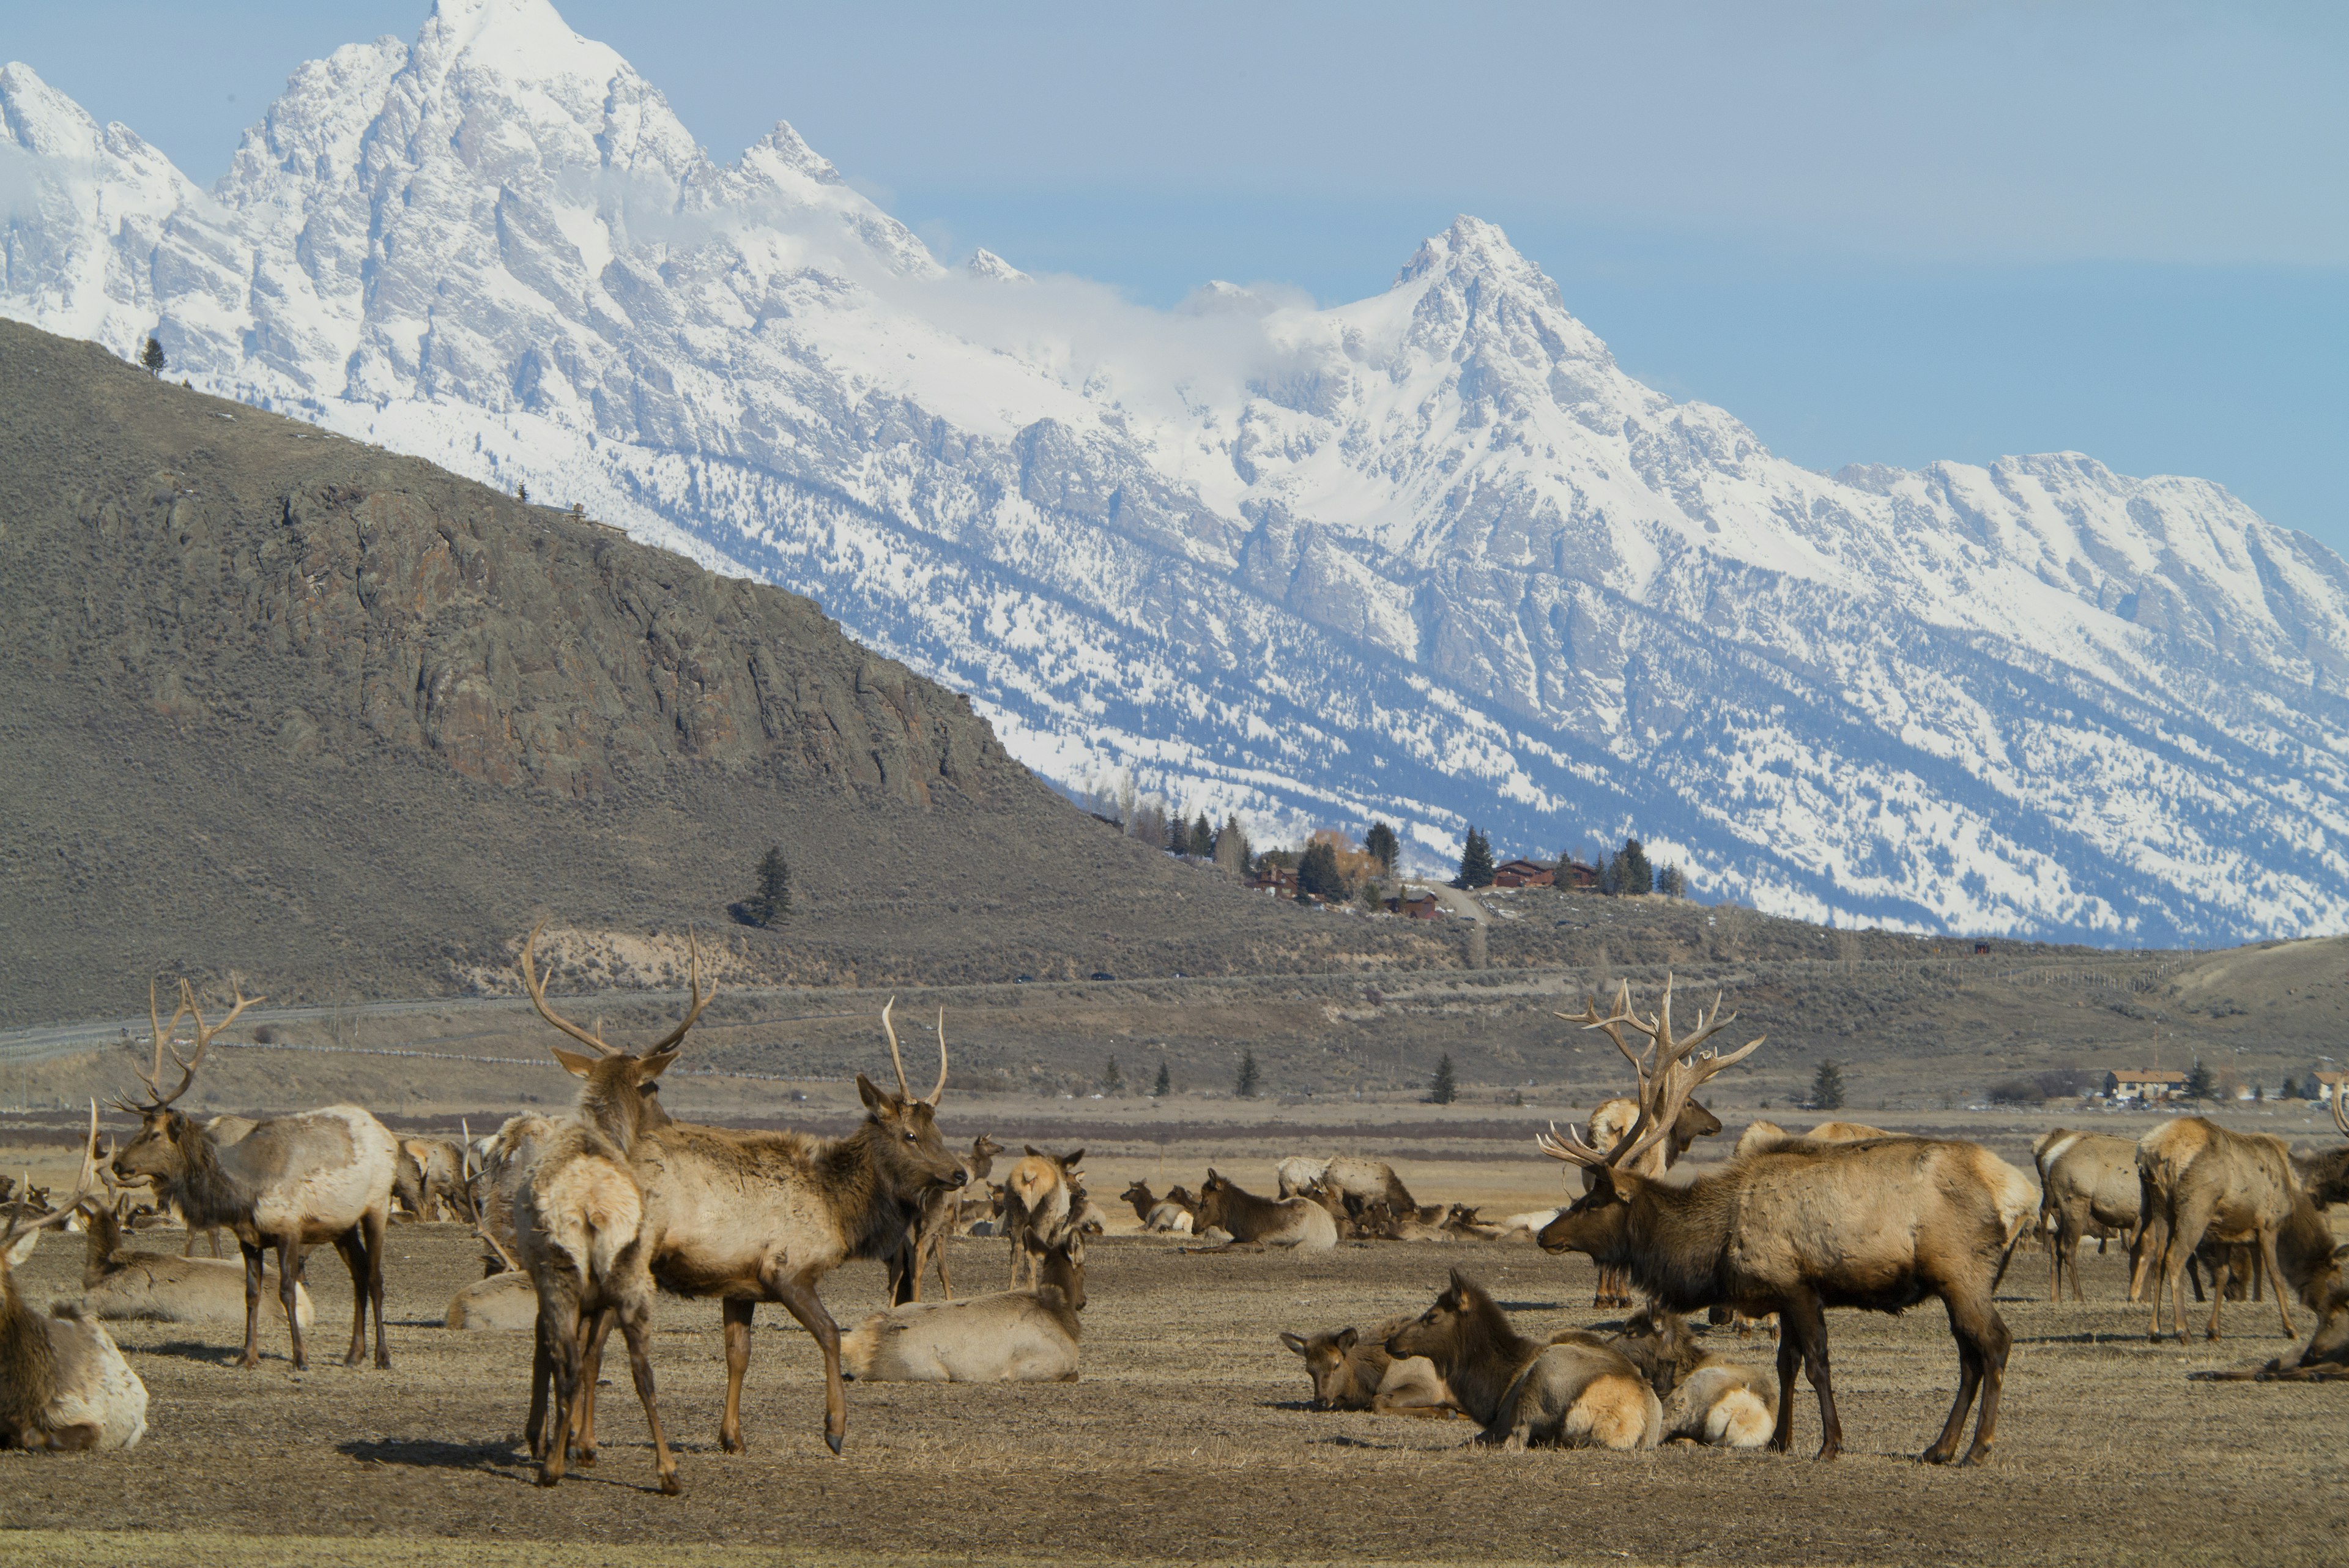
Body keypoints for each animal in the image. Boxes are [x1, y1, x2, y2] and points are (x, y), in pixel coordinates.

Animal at [105, 983, 396, 1373]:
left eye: (154, 1134)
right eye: (141, 1127)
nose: (118, 1164)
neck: (241, 1192)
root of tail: (386, 1134)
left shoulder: (290, 1228)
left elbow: (287, 1290)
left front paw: (301, 1357)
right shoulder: (249, 1238)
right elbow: (251, 1293)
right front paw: (247, 1355)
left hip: (377, 1204)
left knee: (377, 1276)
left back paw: (382, 1356)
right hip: (341, 1225)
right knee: (360, 1273)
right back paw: (353, 1353)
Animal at [1277, 1316, 1456, 1419]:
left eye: (1337, 1364)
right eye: (1309, 1370)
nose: (1321, 1400)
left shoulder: (1429, 1387)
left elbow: (1377, 1402)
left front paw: (1444, 1411)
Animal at [1381, 1269, 1663, 1457]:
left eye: (1433, 1316)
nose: (1391, 1342)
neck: (1495, 1388)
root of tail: (1629, 1420)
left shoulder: (1501, 1421)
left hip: (1542, 1378)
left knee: (1516, 1440)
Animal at [1531, 973, 2029, 1466]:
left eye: (1594, 1201)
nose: (1545, 1235)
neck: (1714, 1244)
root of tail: (2021, 1194)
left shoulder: (1797, 1285)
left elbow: (1817, 1364)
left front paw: (1830, 1444)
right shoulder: (1781, 1294)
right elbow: (1785, 1364)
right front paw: (1780, 1439)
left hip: (1962, 1271)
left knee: (1995, 1343)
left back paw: (1976, 1448)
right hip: (1956, 1282)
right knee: (1969, 1355)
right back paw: (1939, 1447)